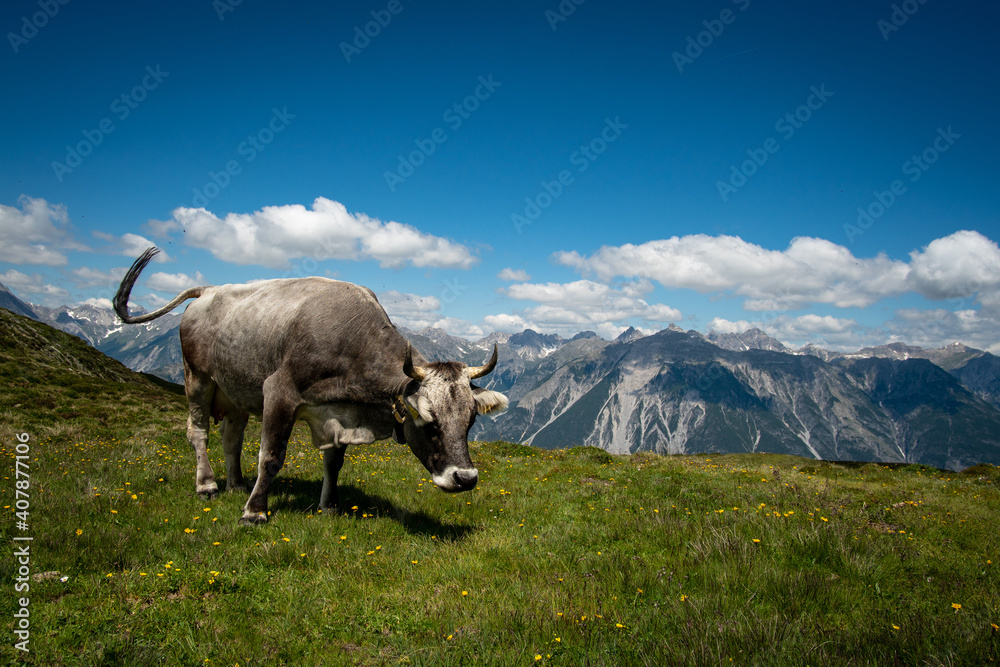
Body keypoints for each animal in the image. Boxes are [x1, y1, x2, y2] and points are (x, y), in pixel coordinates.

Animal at [113, 247, 507, 525]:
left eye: (471, 420)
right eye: (428, 422)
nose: (465, 478)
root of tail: (209, 290)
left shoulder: (336, 414)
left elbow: (334, 462)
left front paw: (329, 506)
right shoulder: (278, 393)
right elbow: (271, 456)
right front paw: (254, 512)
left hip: (236, 391)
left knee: (231, 438)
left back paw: (236, 484)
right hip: (197, 378)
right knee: (197, 432)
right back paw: (208, 485)